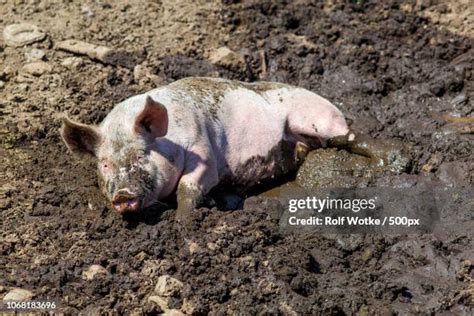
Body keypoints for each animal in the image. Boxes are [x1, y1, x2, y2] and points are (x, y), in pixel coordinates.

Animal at [61, 77, 352, 221]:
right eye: (105, 164)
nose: (122, 194)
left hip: (318, 117)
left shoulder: (204, 151)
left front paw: (183, 220)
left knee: (346, 136)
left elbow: (189, 186)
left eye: (141, 154)